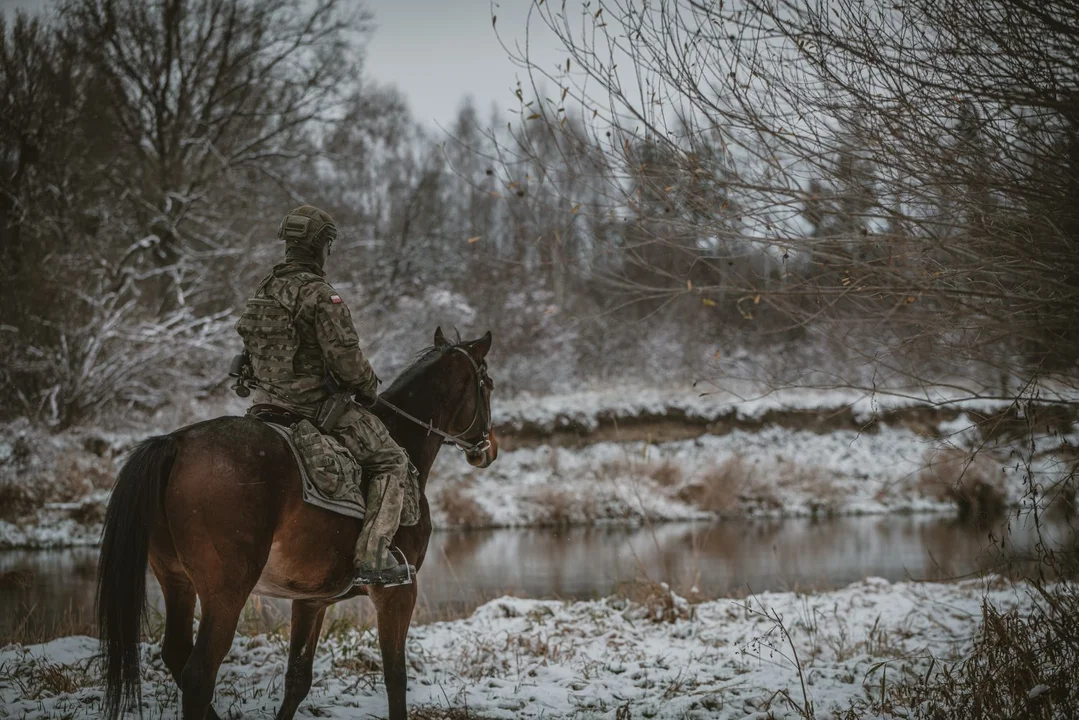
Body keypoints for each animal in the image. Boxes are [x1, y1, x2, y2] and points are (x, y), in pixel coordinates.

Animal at [94, 328, 498, 720]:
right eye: (488, 384)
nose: (490, 448)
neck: (404, 440)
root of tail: (176, 442)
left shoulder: (310, 601)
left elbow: (298, 678)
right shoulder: (398, 592)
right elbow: (395, 677)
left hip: (176, 580)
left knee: (177, 654)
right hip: (226, 592)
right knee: (198, 674)